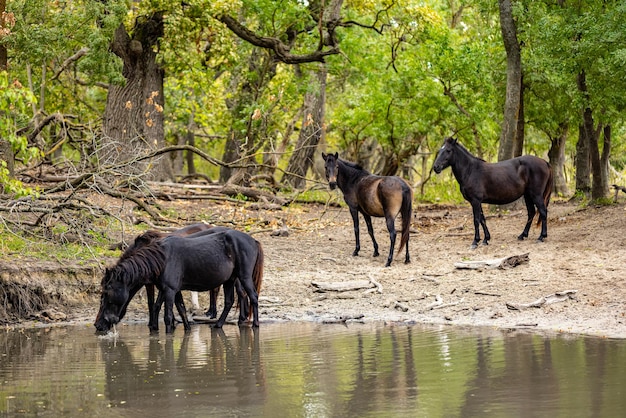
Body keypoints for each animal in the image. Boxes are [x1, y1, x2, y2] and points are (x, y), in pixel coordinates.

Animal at [94, 229, 262, 334]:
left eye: (105, 293)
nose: (98, 325)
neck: (162, 259)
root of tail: (253, 240)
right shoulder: (169, 290)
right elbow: (179, 308)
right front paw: (185, 328)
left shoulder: (169, 290)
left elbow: (167, 316)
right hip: (230, 280)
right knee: (229, 301)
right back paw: (218, 324)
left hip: (244, 277)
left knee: (253, 297)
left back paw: (255, 324)